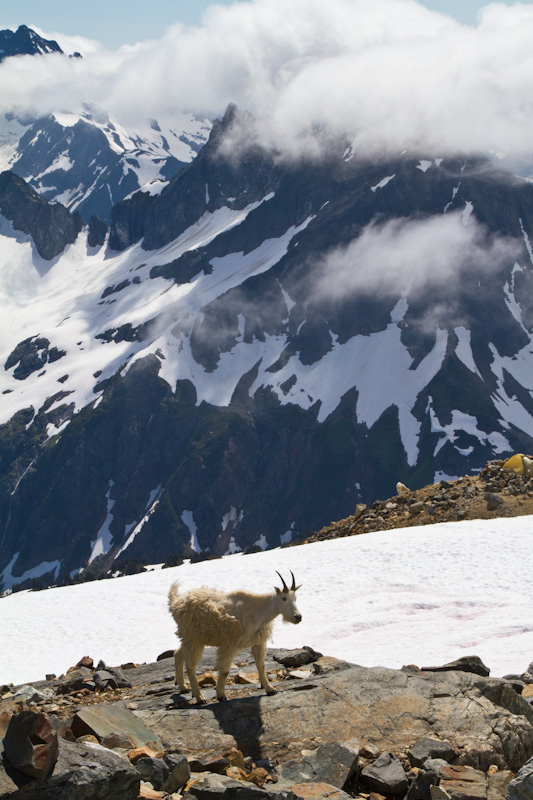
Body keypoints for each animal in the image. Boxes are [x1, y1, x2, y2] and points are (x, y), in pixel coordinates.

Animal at [170, 572, 304, 704]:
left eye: (295, 598)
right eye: (284, 598)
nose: (298, 617)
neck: (258, 610)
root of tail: (175, 603)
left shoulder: (257, 642)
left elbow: (261, 666)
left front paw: (270, 689)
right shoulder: (229, 643)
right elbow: (225, 671)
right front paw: (221, 695)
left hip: (191, 638)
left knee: (178, 654)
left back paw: (183, 687)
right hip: (194, 638)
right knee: (190, 667)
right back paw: (200, 698)